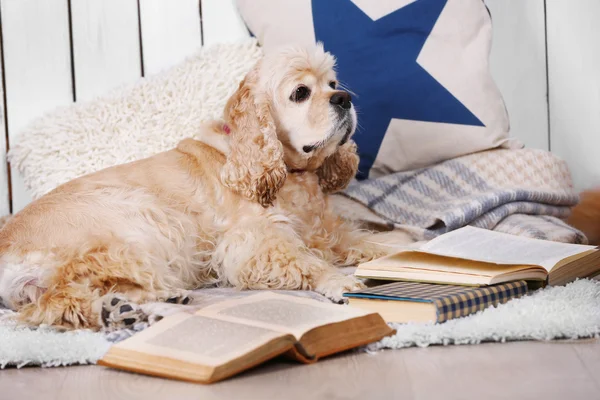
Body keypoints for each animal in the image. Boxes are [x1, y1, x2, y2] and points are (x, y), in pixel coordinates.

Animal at [0, 44, 394, 332]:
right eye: (300, 93)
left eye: (332, 84)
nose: (344, 98)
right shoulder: (255, 245)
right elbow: (306, 262)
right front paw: (339, 281)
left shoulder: (324, 230)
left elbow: (370, 243)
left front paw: (394, 256)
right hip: (131, 221)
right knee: (57, 304)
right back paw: (129, 309)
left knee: (67, 301)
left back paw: (136, 308)